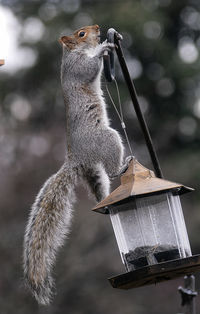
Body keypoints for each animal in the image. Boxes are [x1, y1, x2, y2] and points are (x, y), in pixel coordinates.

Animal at [23, 25, 131, 306]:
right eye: (81, 34)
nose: (97, 28)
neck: (72, 53)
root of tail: (75, 160)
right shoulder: (77, 67)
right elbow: (91, 67)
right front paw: (104, 47)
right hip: (108, 140)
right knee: (112, 168)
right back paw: (123, 166)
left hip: (94, 172)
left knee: (100, 189)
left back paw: (107, 202)